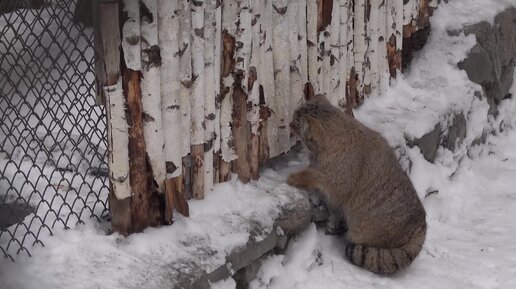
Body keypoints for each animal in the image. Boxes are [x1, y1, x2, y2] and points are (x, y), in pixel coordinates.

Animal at [286, 94, 428, 272]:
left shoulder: (336, 184)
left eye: (296, 122)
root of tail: (421, 225)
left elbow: (313, 175)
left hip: (361, 232)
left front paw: (296, 178)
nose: (288, 123)